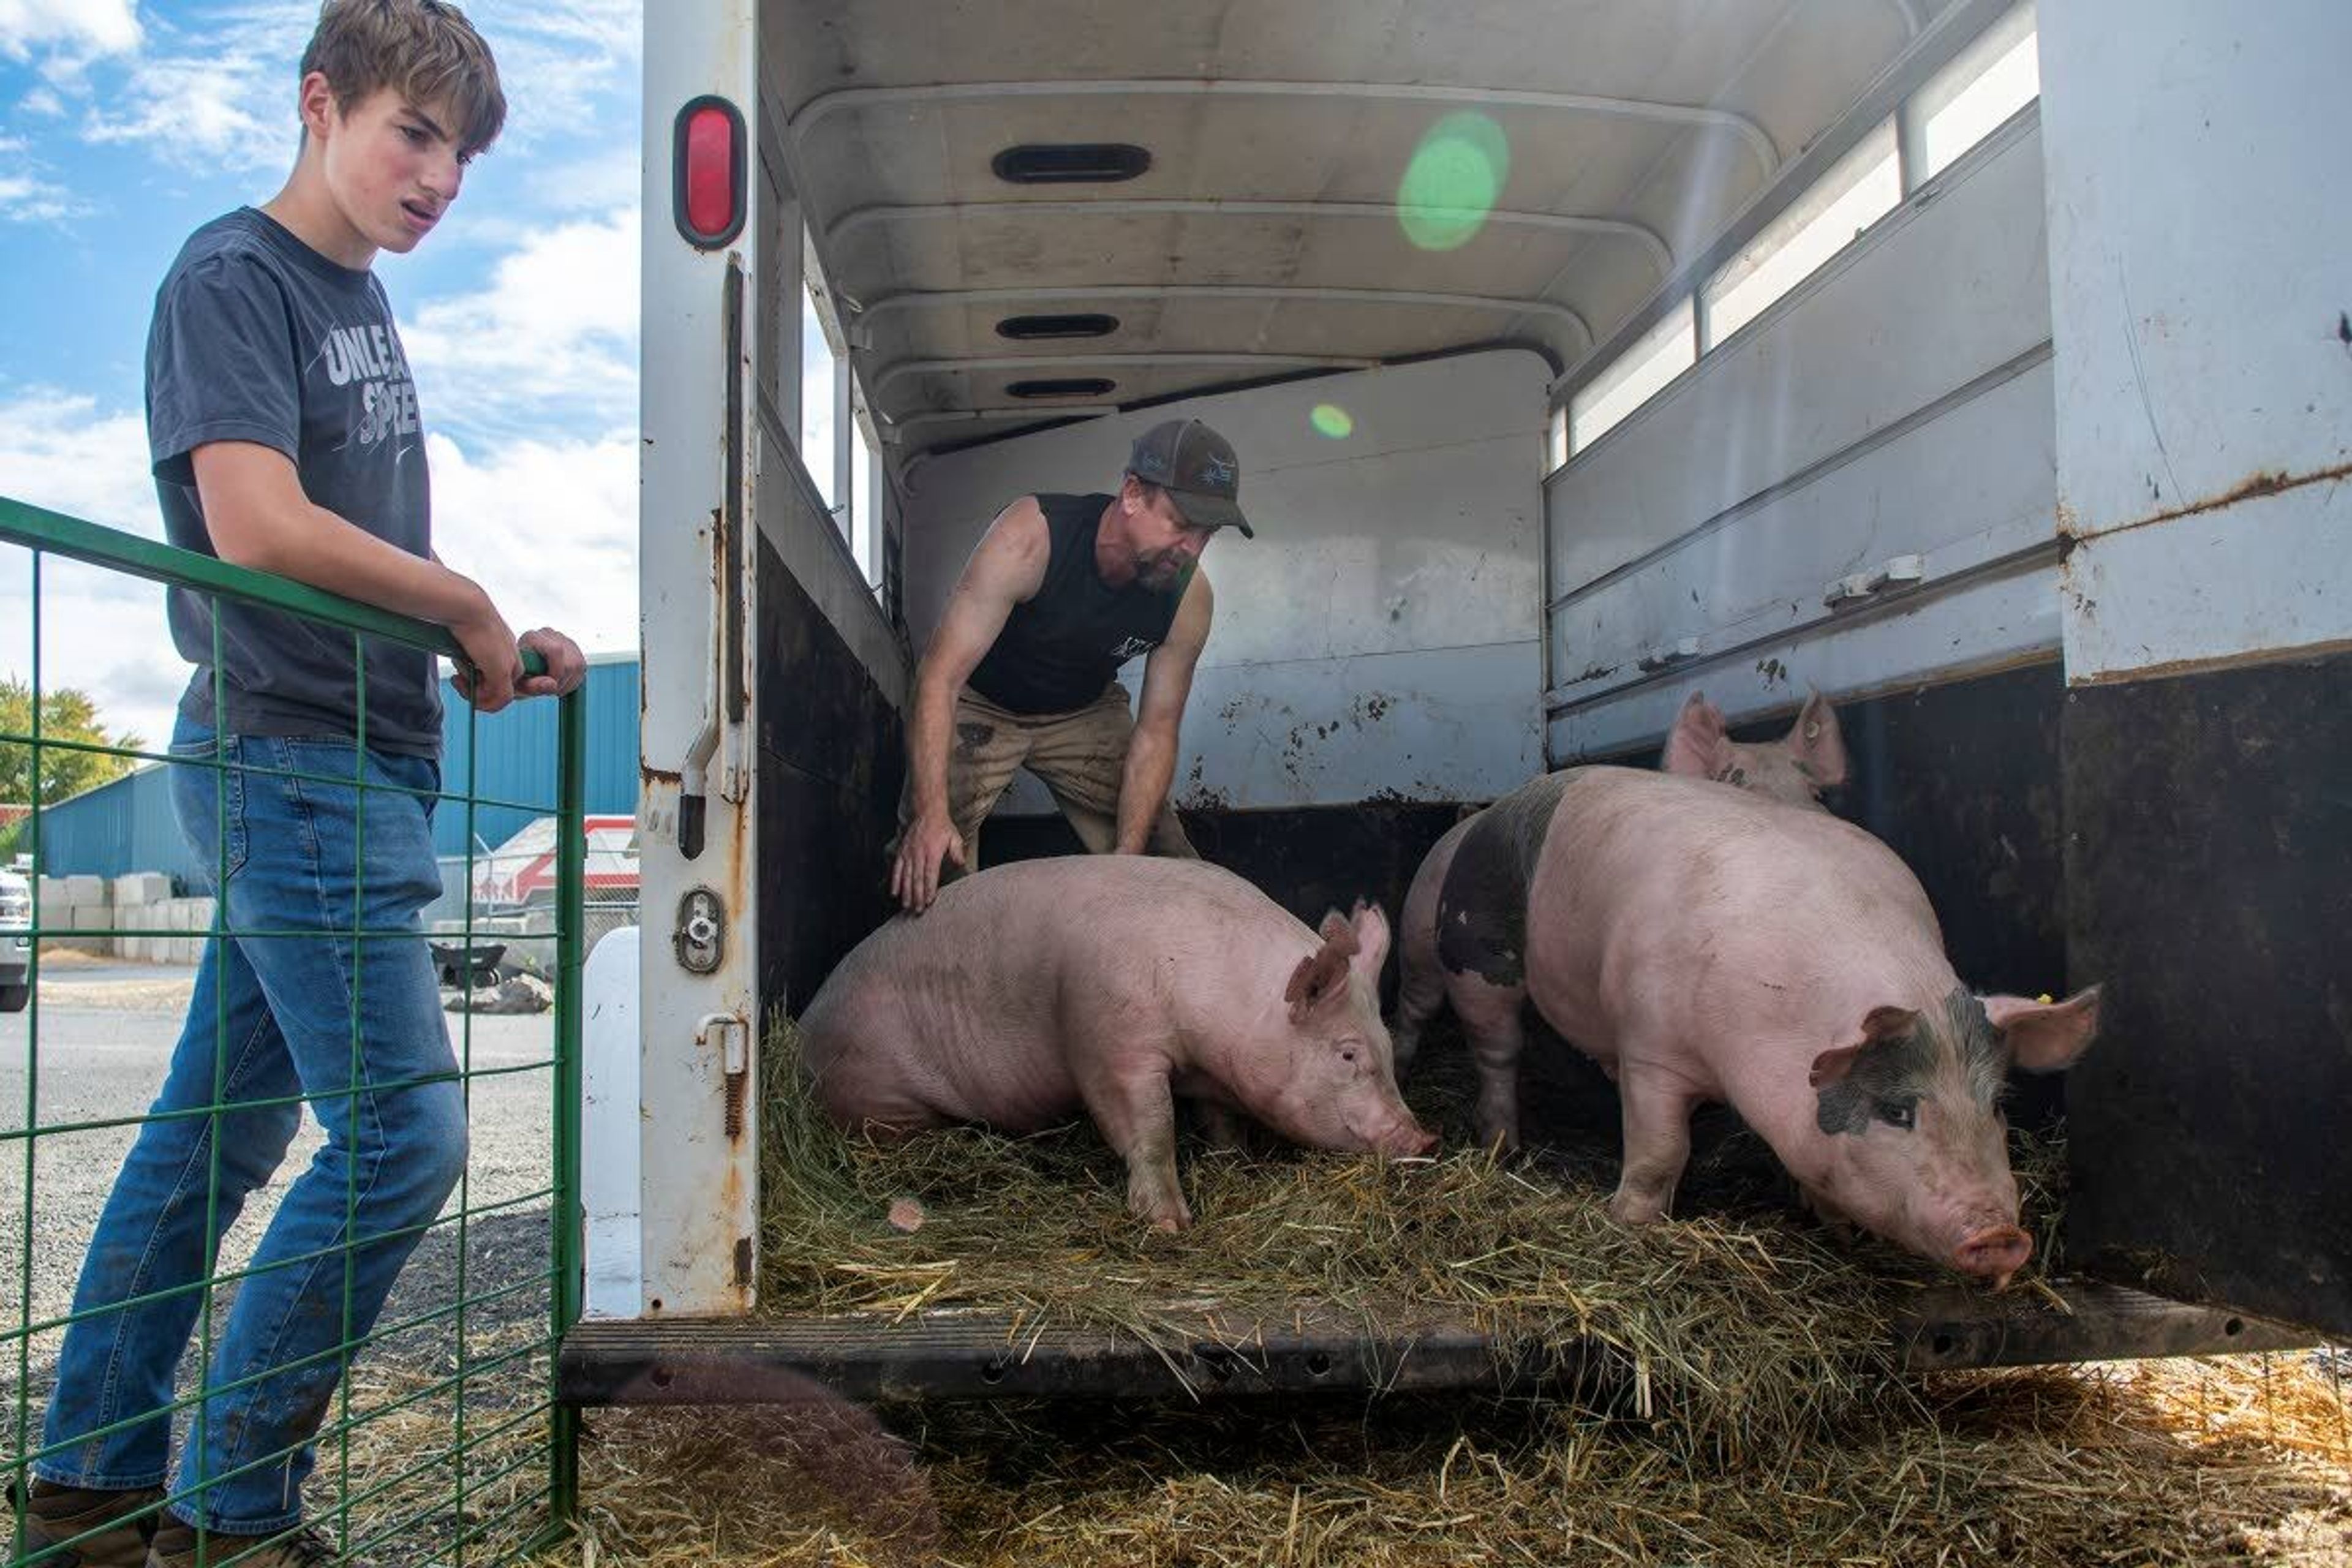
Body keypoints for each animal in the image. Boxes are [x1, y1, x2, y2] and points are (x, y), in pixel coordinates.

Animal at [794, 851, 1430, 1232]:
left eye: (1387, 1044)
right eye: (1348, 1054)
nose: (1425, 1137)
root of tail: (804, 1028)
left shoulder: (1212, 1073)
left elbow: (1221, 1119)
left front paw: (1236, 1163)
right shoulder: (1110, 1041)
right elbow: (1150, 1126)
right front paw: (1171, 1224)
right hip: (878, 1089)